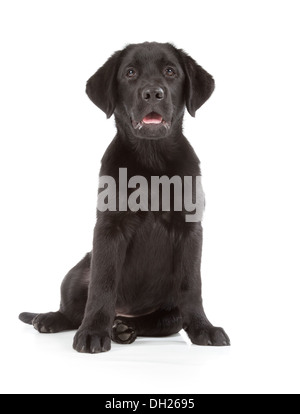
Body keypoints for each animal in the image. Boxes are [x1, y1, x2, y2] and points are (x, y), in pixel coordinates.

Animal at [19, 42, 230, 352]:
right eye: (130, 73)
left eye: (171, 71)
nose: (153, 93)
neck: (152, 161)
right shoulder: (109, 227)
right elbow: (103, 283)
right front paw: (93, 332)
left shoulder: (190, 229)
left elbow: (192, 285)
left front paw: (203, 328)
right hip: (76, 273)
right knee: (73, 310)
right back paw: (51, 319)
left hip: (170, 311)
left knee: (159, 321)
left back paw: (123, 328)